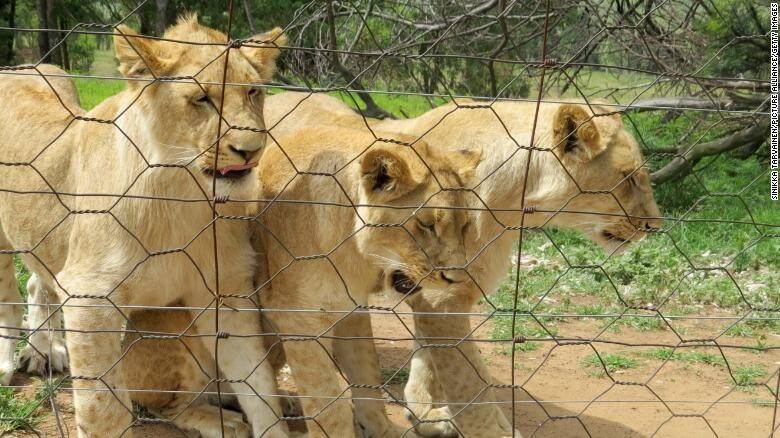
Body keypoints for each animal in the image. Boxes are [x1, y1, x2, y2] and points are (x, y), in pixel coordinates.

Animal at [0, 15, 290, 436]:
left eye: (253, 92)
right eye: (202, 99)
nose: (251, 151)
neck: (181, 193)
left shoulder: (226, 291)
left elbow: (259, 387)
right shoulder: (91, 298)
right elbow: (103, 409)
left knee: (39, 282)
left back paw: (44, 351)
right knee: (9, 302)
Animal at [266, 90, 660, 436]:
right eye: (630, 178)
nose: (655, 226)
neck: (514, 199)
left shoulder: (440, 292)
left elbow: (431, 363)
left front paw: (425, 416)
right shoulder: (443, 299)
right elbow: (469, 382)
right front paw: (494, 432)